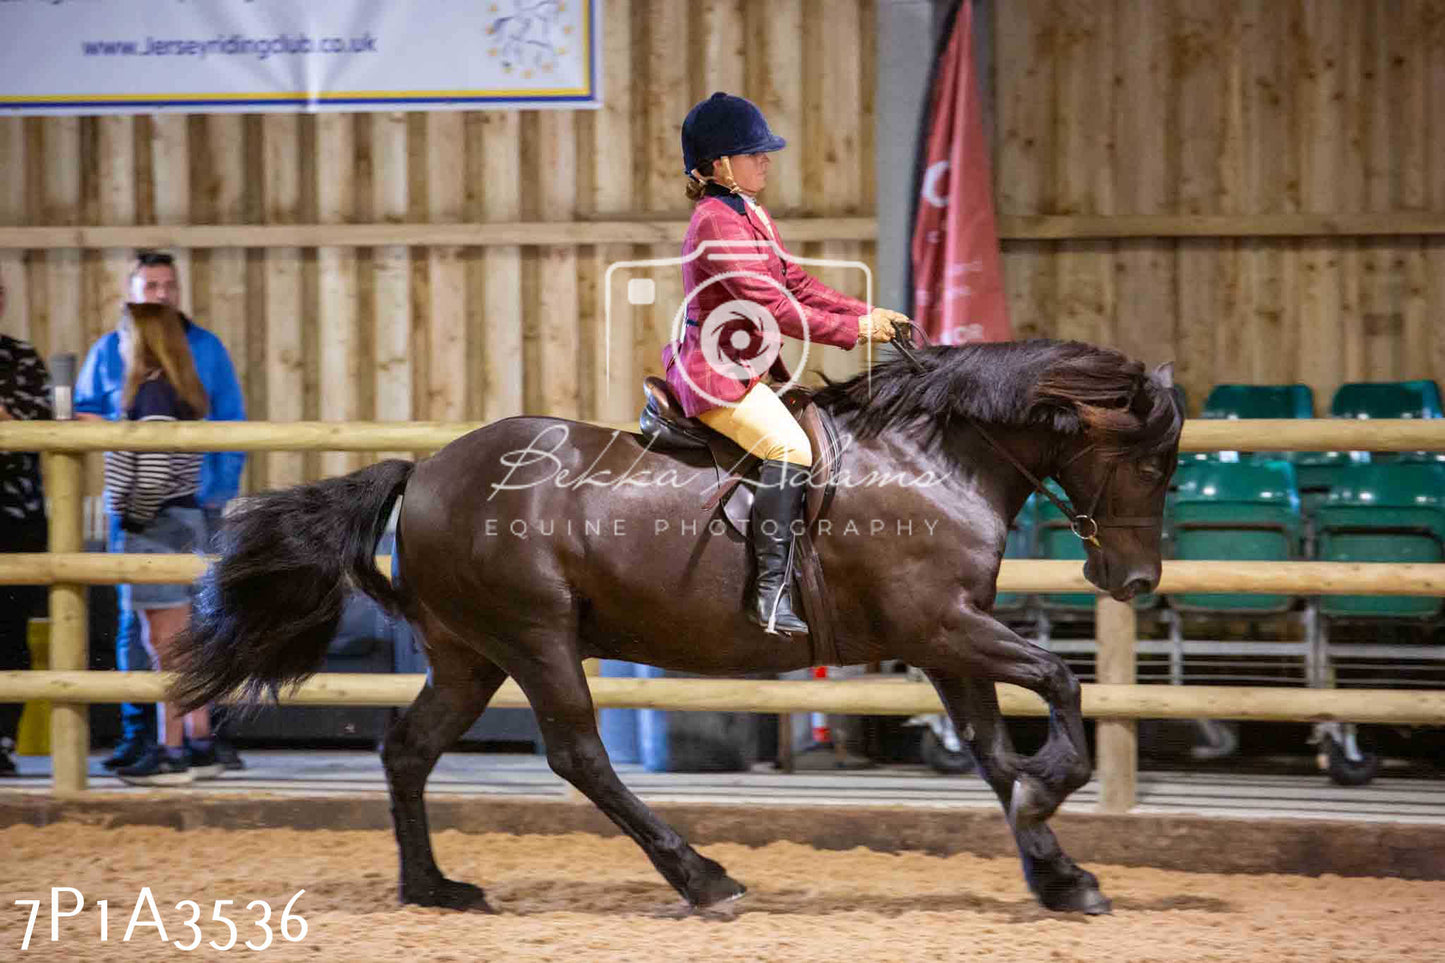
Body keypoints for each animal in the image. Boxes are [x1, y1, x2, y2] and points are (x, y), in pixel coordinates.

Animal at [171, 336, 1184, 913]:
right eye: (1151, 460)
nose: (1132, 579)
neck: (929, 456)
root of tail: (424, 473)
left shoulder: (947, 639)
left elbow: (990, 751)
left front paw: (1056, 871)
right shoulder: (942, 627)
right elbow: (1056, 685)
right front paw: (1051, 796)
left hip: (468, 654)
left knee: (409, 751)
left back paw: (433, 888)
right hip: (535, 640)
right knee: (579, 754)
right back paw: (701, 878)